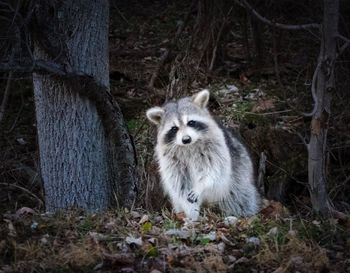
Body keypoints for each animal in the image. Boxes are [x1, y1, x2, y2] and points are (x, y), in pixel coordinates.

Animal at [146, 90, 260, 220]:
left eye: (191, 122)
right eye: (174, 128)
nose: (186, 139)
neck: (189, 146)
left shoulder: (215, 149)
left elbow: (214, 170)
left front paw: (201, 186)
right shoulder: (171, 160)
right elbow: (179, 184)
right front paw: (191, 213)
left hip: (239, 178)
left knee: (239, 199)